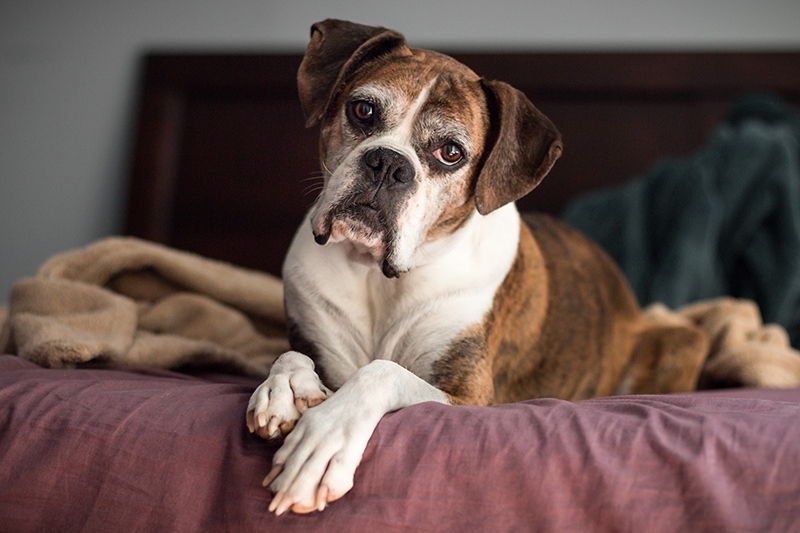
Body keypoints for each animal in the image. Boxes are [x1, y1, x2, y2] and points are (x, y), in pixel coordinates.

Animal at [245, 20, 708, 516]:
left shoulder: (470, 397)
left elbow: (381, 372)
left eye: (451, 152)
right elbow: (287, 354)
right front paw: (285, 389)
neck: (377, 276)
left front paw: (324, 440)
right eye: (363, 110)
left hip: (682, 340)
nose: (388, 162)